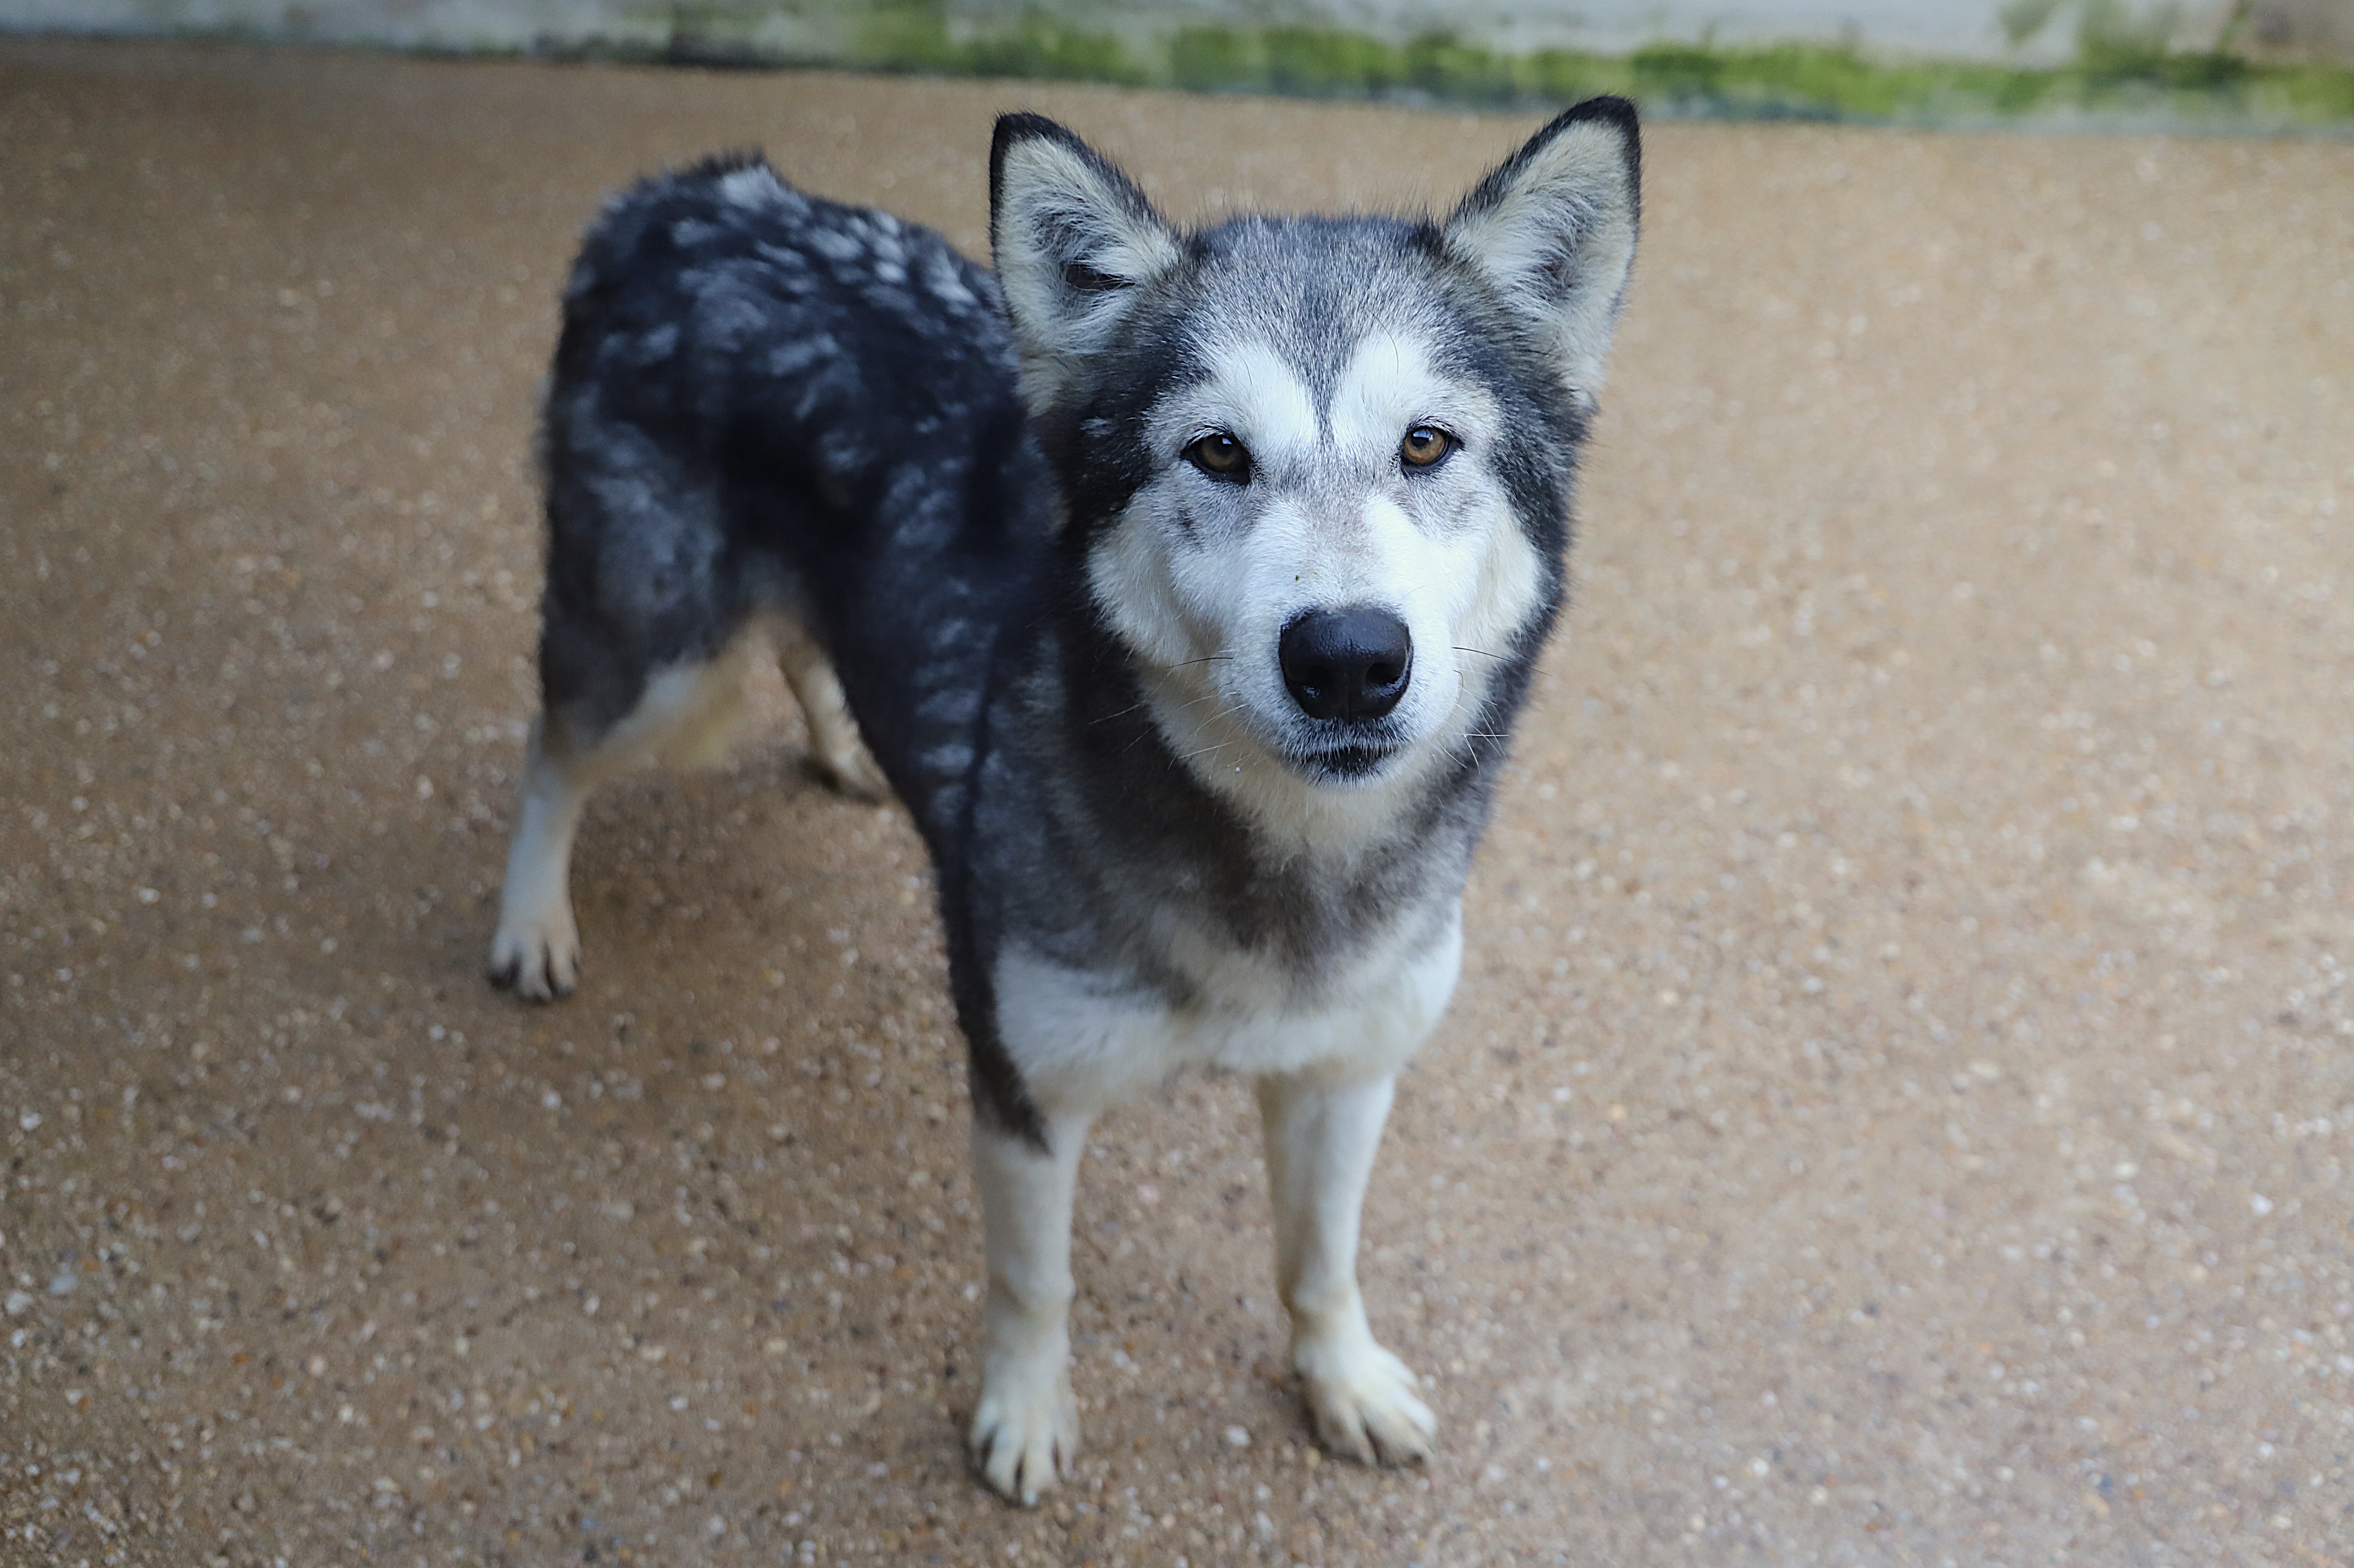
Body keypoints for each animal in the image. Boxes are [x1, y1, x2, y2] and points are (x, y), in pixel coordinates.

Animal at [487, 99, 1640, 1502]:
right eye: (1217, 451)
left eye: (1425, 443)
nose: (1349, 659)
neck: (1276, 875)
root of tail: (681, 198)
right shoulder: (1023, 1087)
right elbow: (1035, 1283)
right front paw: (1026, 1417)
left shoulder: (1347, 1073)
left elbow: (1320, 1261)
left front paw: (1344, 1381)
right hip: (655, 664)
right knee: (551, 745)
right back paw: (531, 921)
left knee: (805, 644)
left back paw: (850, 747)